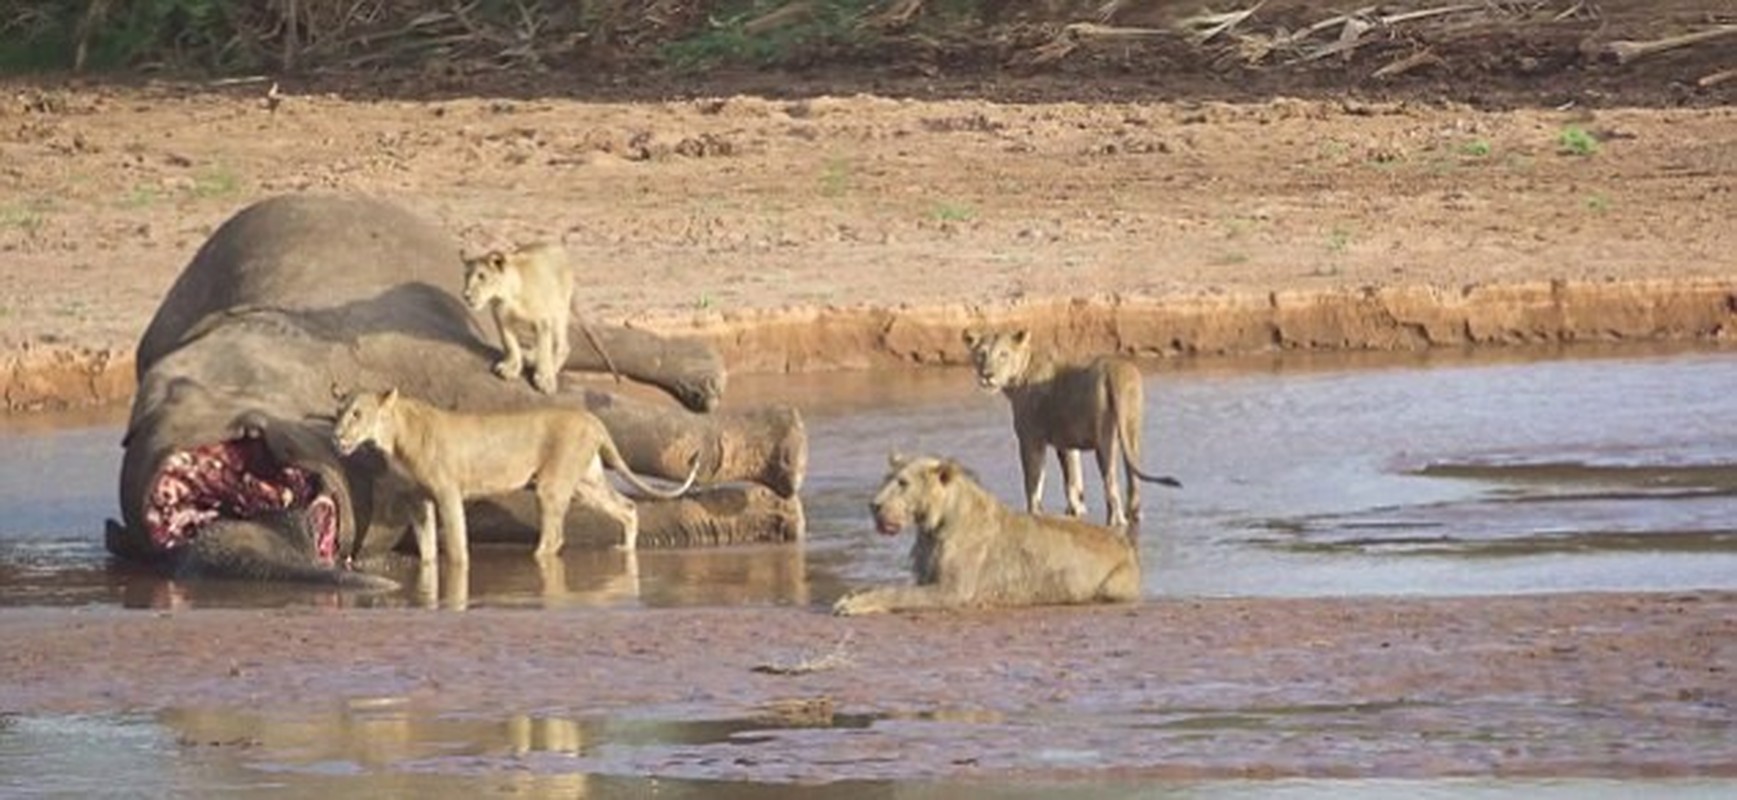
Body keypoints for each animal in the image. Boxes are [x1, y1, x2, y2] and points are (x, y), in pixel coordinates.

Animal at [331, 386, 698, 562]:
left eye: (357, 414)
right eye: (339, 413)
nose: (336, 435)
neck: (393, 436)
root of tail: (593, 419)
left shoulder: (448, 492)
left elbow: (458, 544)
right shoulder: (417, 499)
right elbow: (426, 548)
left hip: (552, 485)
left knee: (554, 537)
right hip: (585, 483)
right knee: (627, 507)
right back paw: (625, 550)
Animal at [462, 241, 625, 393]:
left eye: (482, 276)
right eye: (466, 276)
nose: (466, 295)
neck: (507, 296)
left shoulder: (542, 321)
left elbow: (544, 350)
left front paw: (545, 379)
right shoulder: (502, 319)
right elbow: (510, 345)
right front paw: (511, 368)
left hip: (559, 310)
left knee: (562, 346)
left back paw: (551, 368)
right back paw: (530, 356)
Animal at [826, 451, 1139, 614]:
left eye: (902, 483)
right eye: (887, 479)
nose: (874, 505)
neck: (932, 527)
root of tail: (1125, 543)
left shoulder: (953, 591)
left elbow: (897, 593)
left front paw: (854, 604)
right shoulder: (926, 577)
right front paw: (847, 597)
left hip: (1113, 584)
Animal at [965, 327, 1181, 527]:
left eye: (1004, 354)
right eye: (981, 354)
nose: (987, 375)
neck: (1021, 373)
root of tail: (1115, 372)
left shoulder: (1031, 438)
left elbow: (1033, 480)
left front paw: (1034, 511)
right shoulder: (1066, 440)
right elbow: (1073, 477)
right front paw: (1076, 509)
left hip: (1104, 438)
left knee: (1111, 482)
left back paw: (1116, 520)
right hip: (1131, 428)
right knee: (1132, 476)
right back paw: (1133, 514)